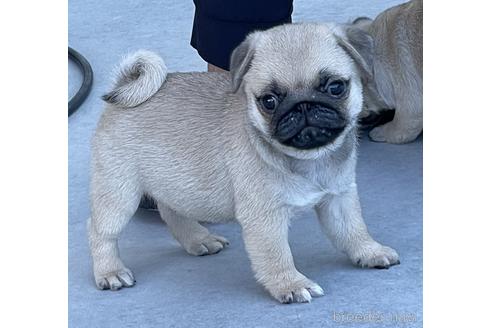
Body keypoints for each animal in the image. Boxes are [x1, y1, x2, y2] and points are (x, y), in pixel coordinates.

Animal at [89, 23, 400, 304]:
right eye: (269, 101)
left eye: (335, 87)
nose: (303, 106)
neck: (308, 160)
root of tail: (123, 91)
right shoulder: (265, 218)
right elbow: (277, 255)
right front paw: (291, 284)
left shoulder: (339, 198)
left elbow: (353, 231)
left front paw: (370, 252)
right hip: (120, 192)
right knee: (100, 232)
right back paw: (110, 271)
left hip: (173, 183)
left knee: (172, 212)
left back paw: (199, 239)